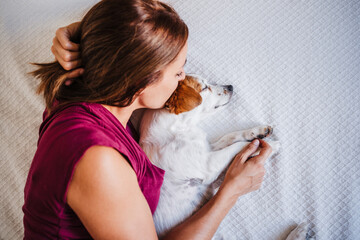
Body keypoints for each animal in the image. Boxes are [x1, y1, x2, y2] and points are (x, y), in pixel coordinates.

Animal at [139, 74, 282, 236]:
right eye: (205, 87)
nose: (230, 86)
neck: (178, 128)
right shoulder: (208, 165)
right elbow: (238, 146)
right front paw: (270, 146)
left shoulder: (207, 148)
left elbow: (231, 136)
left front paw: (258, 131)